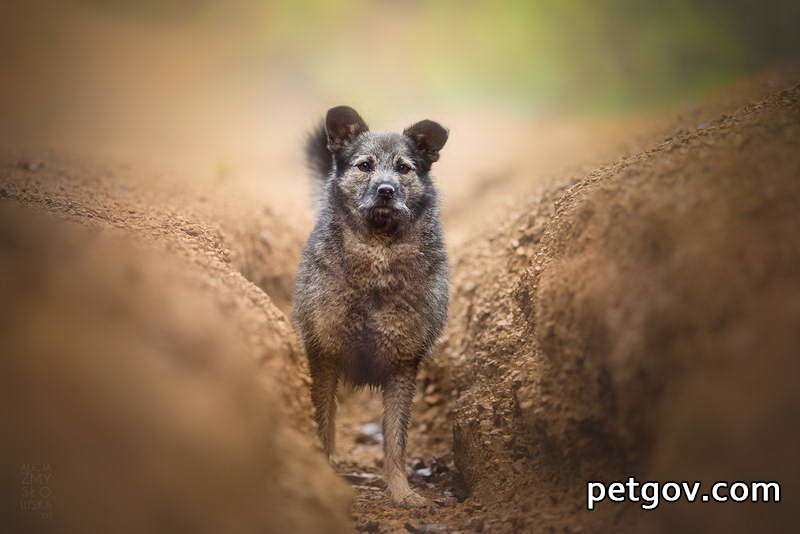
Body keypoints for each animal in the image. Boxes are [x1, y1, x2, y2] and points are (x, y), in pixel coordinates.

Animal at [292, 107, 446, 508]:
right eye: (365, 165)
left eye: (404, 168)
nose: (385, 190)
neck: (378, 258)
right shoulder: (324, 357)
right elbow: (324, 428)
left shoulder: (403, 366)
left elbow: (395, 442)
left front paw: (402, 491)